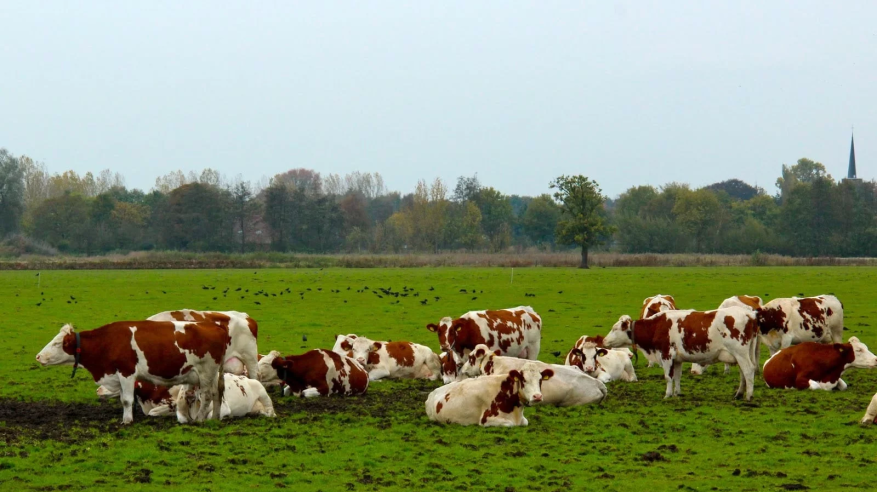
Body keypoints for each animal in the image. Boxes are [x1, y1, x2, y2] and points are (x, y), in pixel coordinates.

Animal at [37, 322, 229, 422]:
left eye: (57, 343)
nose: (38, 356)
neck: (108, 342)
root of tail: (215, 326)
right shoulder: (119, 376)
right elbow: (124, 400)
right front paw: (126, 418)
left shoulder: (127, 373)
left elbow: (128, 400)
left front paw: (127, 421)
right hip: (212, 374)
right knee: (217, 393)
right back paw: (215, 417)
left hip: (206, 373)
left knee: (207, 396)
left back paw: (200, 419)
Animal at [604, 308, 756, 400]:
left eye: (614, 328)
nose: (604, 340)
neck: (657, 326)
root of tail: (749, 315)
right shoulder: (677, 359)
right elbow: (677, 377)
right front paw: (677, 393)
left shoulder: (666, 355)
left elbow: (668, 377)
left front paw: (667, 394)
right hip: (742, 355)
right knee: (744, 373)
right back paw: (739, 393)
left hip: (741, 353)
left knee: (748, 371)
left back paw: (748, 396)